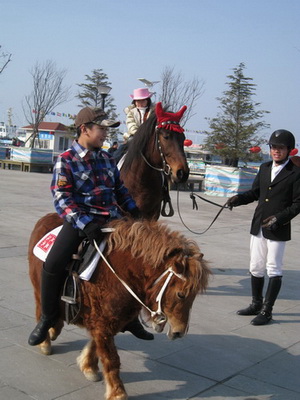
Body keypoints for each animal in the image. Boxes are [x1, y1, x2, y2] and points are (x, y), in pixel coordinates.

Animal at [29, 214, 210, 400]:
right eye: (181, 294)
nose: (179, 331)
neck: (120, 274)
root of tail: (46, 217)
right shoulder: (103, 322)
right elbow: (111, 358)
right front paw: (117, 392)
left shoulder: (109, 320)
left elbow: (96, 345)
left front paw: (88, 366)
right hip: (39, 288)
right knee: (43, 310)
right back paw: (43, 338)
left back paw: (53, 329)